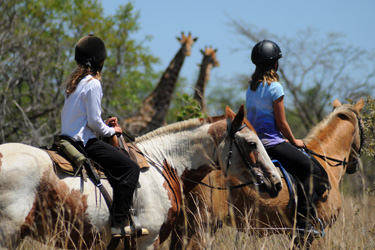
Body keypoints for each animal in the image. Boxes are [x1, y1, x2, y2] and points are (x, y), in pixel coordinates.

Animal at [172, 98, 366, 249]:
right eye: (363, 126)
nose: (354, 165)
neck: (324, 156)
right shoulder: (316, 232)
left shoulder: (296, 236)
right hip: (202, 226)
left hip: (182, 227)